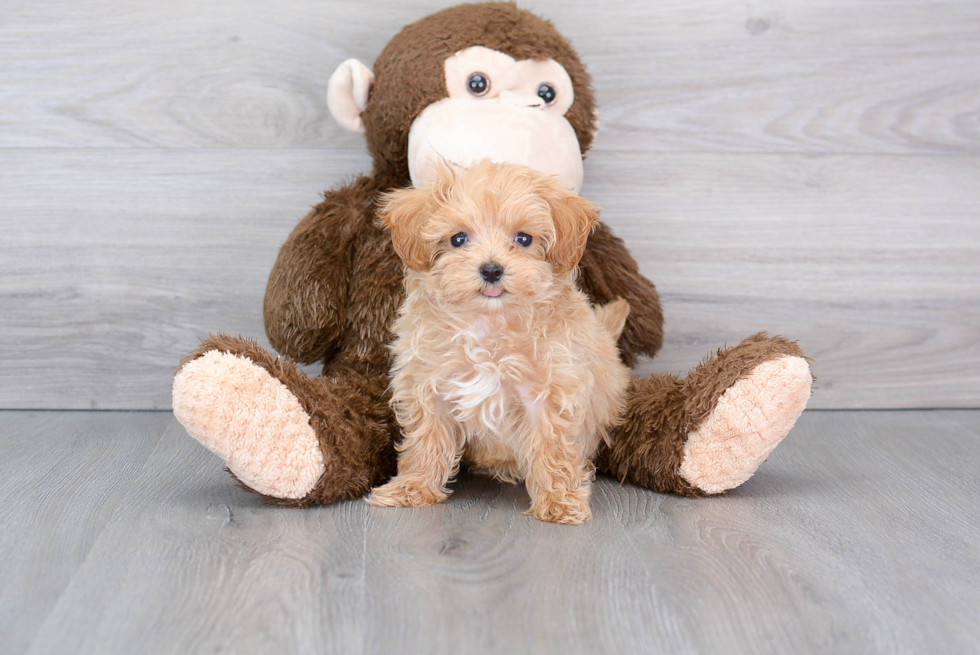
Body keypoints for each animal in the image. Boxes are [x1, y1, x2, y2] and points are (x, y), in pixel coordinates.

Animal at [366, 159, 628, 524]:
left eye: (524, 238)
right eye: (458, 238)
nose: (491, 270)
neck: (488, 323)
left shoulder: (549, 393)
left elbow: (552, 448)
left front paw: (559, 501)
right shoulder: (428, 386)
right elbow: (425, 441)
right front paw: (411, 489)